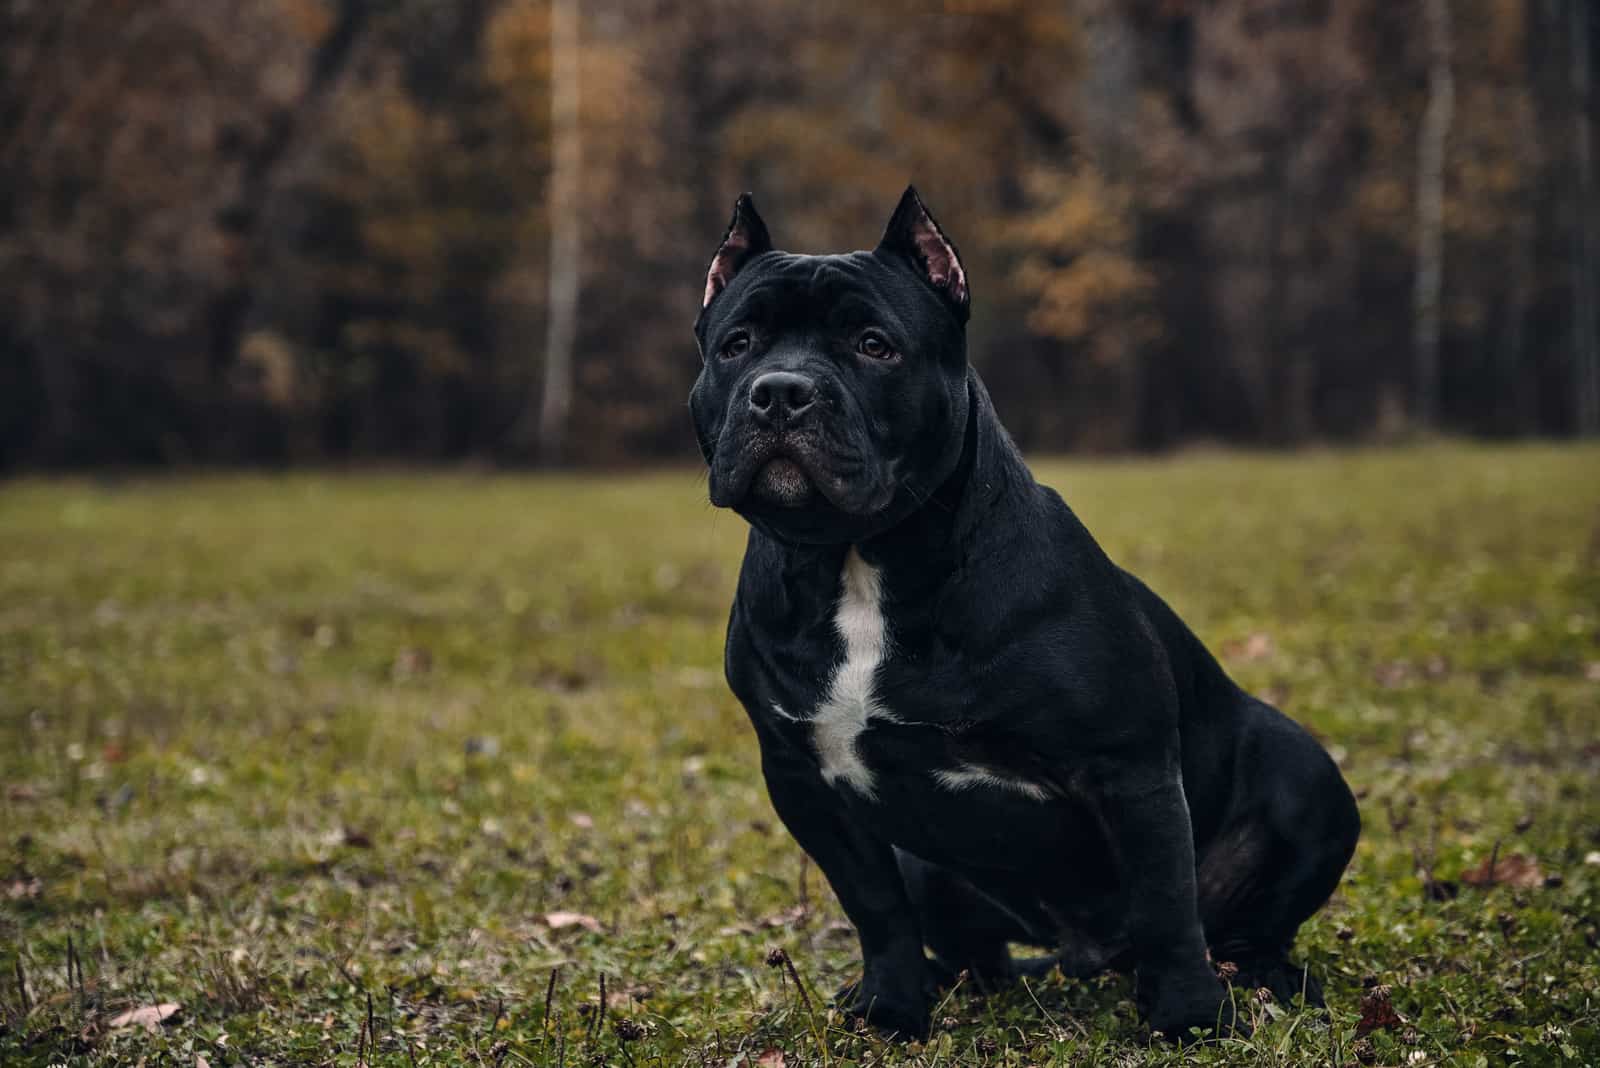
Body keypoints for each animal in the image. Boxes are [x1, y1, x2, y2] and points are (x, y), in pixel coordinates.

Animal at [688, 187, 1363, 1036]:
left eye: (876, 346)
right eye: (736, 345)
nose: (780, 389)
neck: (858, 563)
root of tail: (1085, 954)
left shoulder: (1129, 766)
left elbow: (1168, 904)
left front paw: (1188, 1018)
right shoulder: (804, 780)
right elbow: (875, 908)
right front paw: (890, 1008)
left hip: (1304, 773)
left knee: (1238, 926)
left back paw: (1264, 977)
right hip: (930, 868)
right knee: (976, 950)